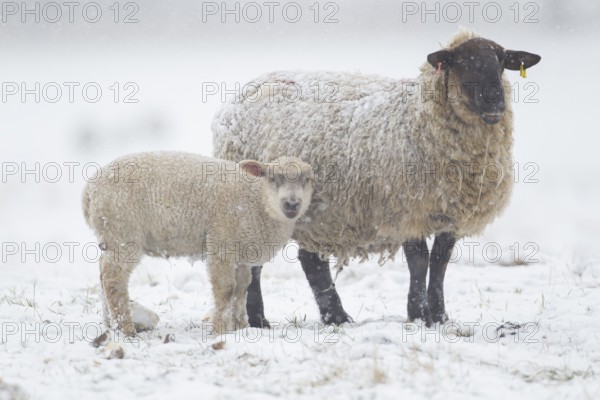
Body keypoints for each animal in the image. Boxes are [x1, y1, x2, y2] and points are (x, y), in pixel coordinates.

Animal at [212, 28, 544, 328]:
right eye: (461, 62)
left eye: (501, 63)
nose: (495, 103)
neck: (419, 119)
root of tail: (248, 88)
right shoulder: (408, 209)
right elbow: (419, 261)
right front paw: (419, 314)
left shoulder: (449, 214)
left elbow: (440, 263)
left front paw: (439, 316)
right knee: (258, 263)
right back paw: (259, 320)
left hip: (321, 215)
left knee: (311, 261)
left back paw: (335, 317)